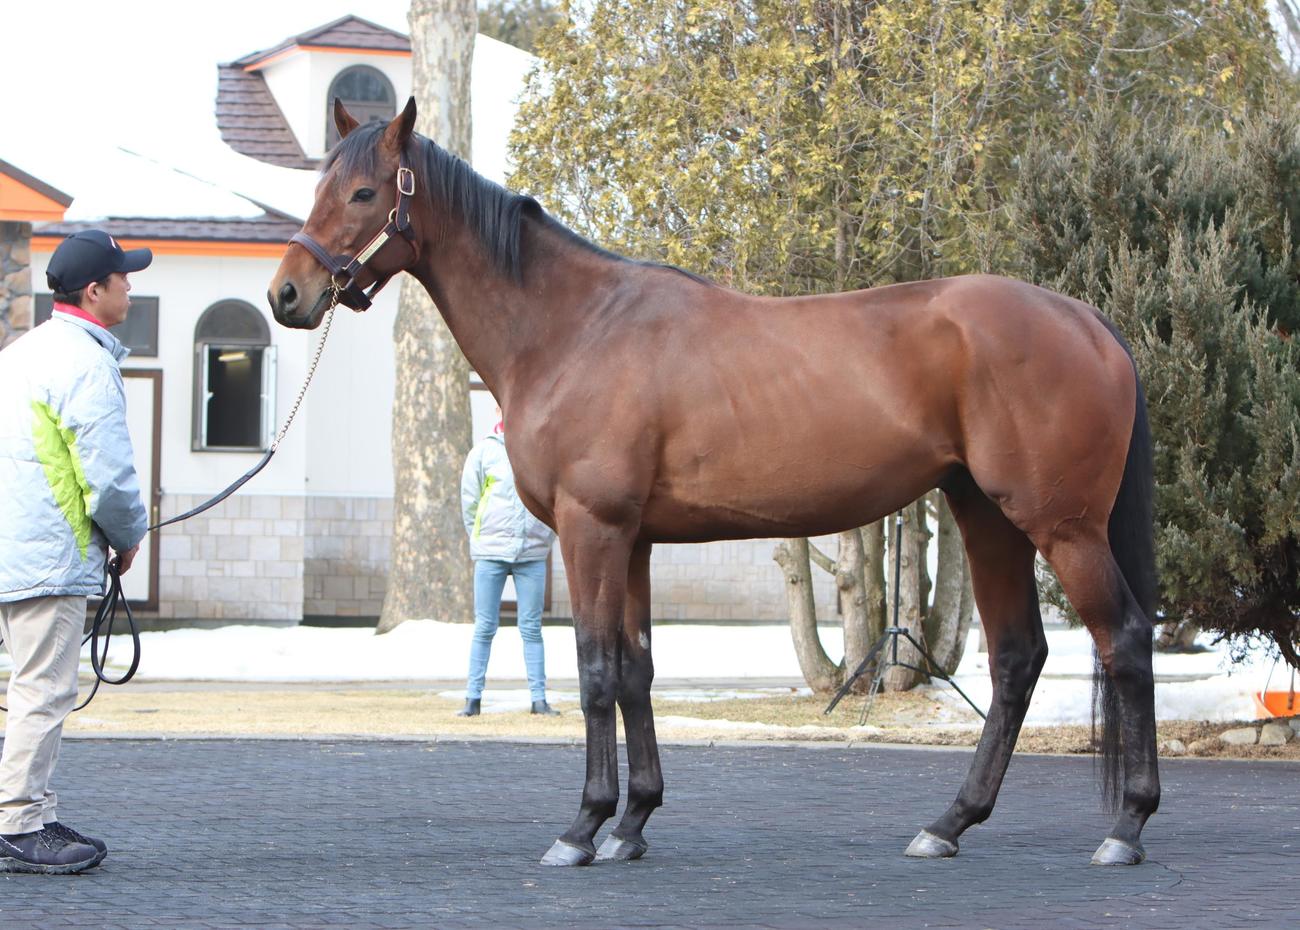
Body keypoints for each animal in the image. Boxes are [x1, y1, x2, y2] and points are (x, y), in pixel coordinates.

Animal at [269, 98, 1160, 868]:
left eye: (363, 192)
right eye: (315, 187)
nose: (286, 294)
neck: (572, 329)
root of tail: (1088, 321)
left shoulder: (591, 529)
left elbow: (596, 668)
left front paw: (583, 826)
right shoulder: (632, 541)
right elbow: (635, 669)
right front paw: (632, 824)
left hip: (1061, 526)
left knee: (1122, 639)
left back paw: (1125, 828)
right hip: (988, 517)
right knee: (1016, 658)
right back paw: (948, 824)